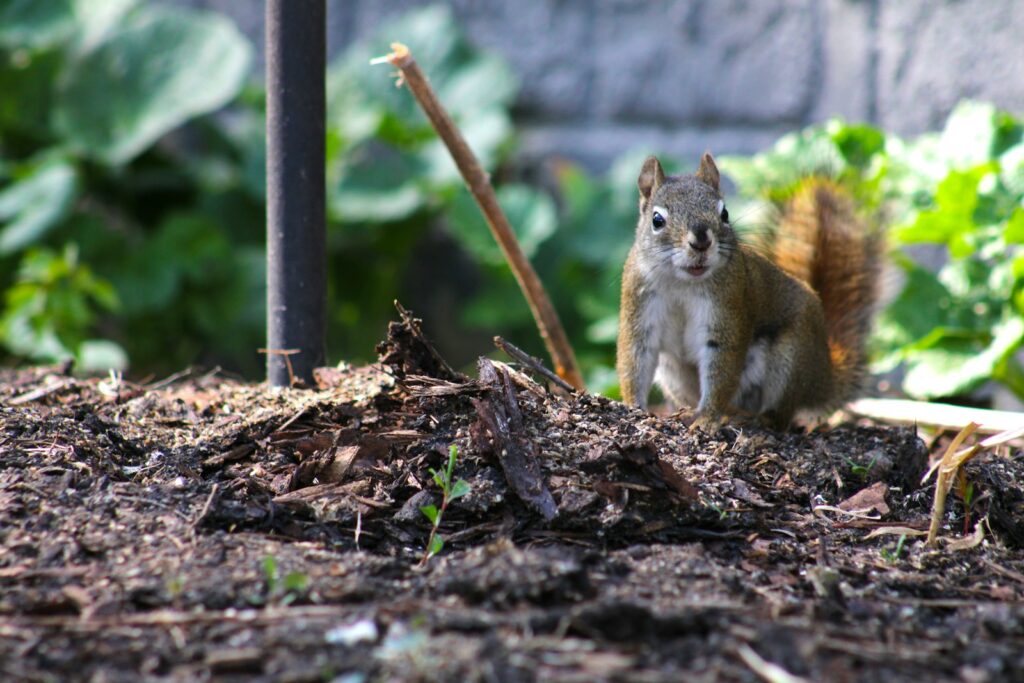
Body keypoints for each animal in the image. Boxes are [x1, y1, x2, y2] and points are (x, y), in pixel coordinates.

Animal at [616, 152, 880, 430]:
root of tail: (823, 376)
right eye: (657, 220)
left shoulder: (729, 303)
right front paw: (634, 407)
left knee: (781, 415)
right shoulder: (638, 303)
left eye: (724, 214)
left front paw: (707, 418)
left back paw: (751, 417)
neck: (682, 282)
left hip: (791, 357)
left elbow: (722, 367)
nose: (701, 240)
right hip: (672, 373)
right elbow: (635, 358)